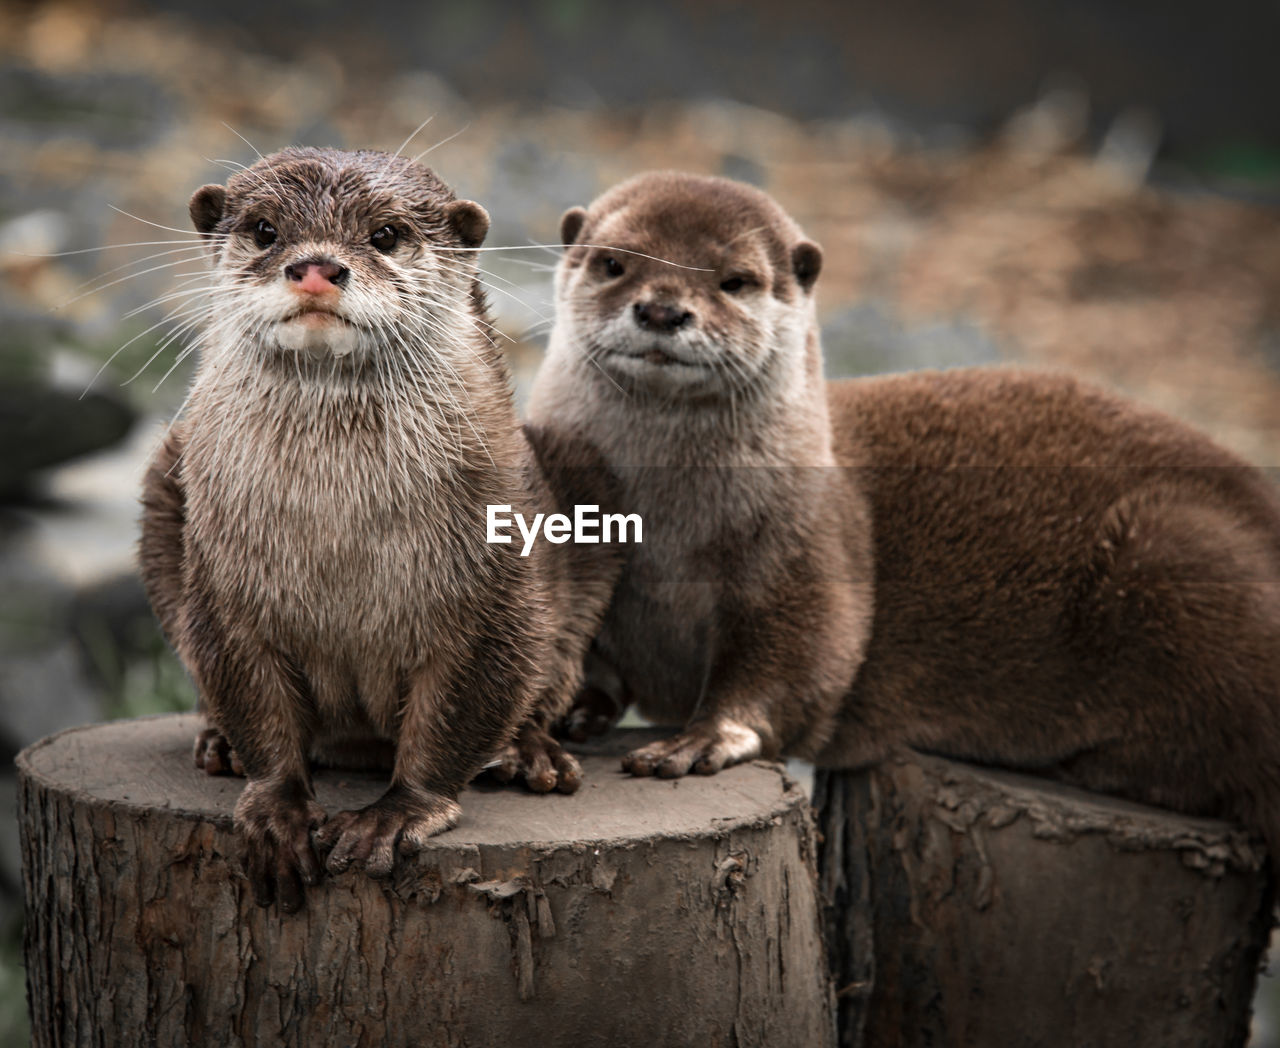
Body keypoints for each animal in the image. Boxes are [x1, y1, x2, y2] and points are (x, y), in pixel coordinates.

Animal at [141, 147, 614, 911]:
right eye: (265, 229)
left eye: (386, 234)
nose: (316, 266)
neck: (340, 533)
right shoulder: (222, 588)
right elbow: (251, 693)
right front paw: (275, 809)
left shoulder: (493, 591)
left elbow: (464, 701)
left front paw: (393, 816)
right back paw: (218, 745)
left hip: (585, 476)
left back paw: (531, 754)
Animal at [529, 172, 1280, 854]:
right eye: (614, 262)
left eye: (734, 281)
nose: (662, 310)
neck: (669, 536)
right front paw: (561, 722)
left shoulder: (808, 544)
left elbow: (793, 666)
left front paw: (694, 741)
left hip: (1179, 550)